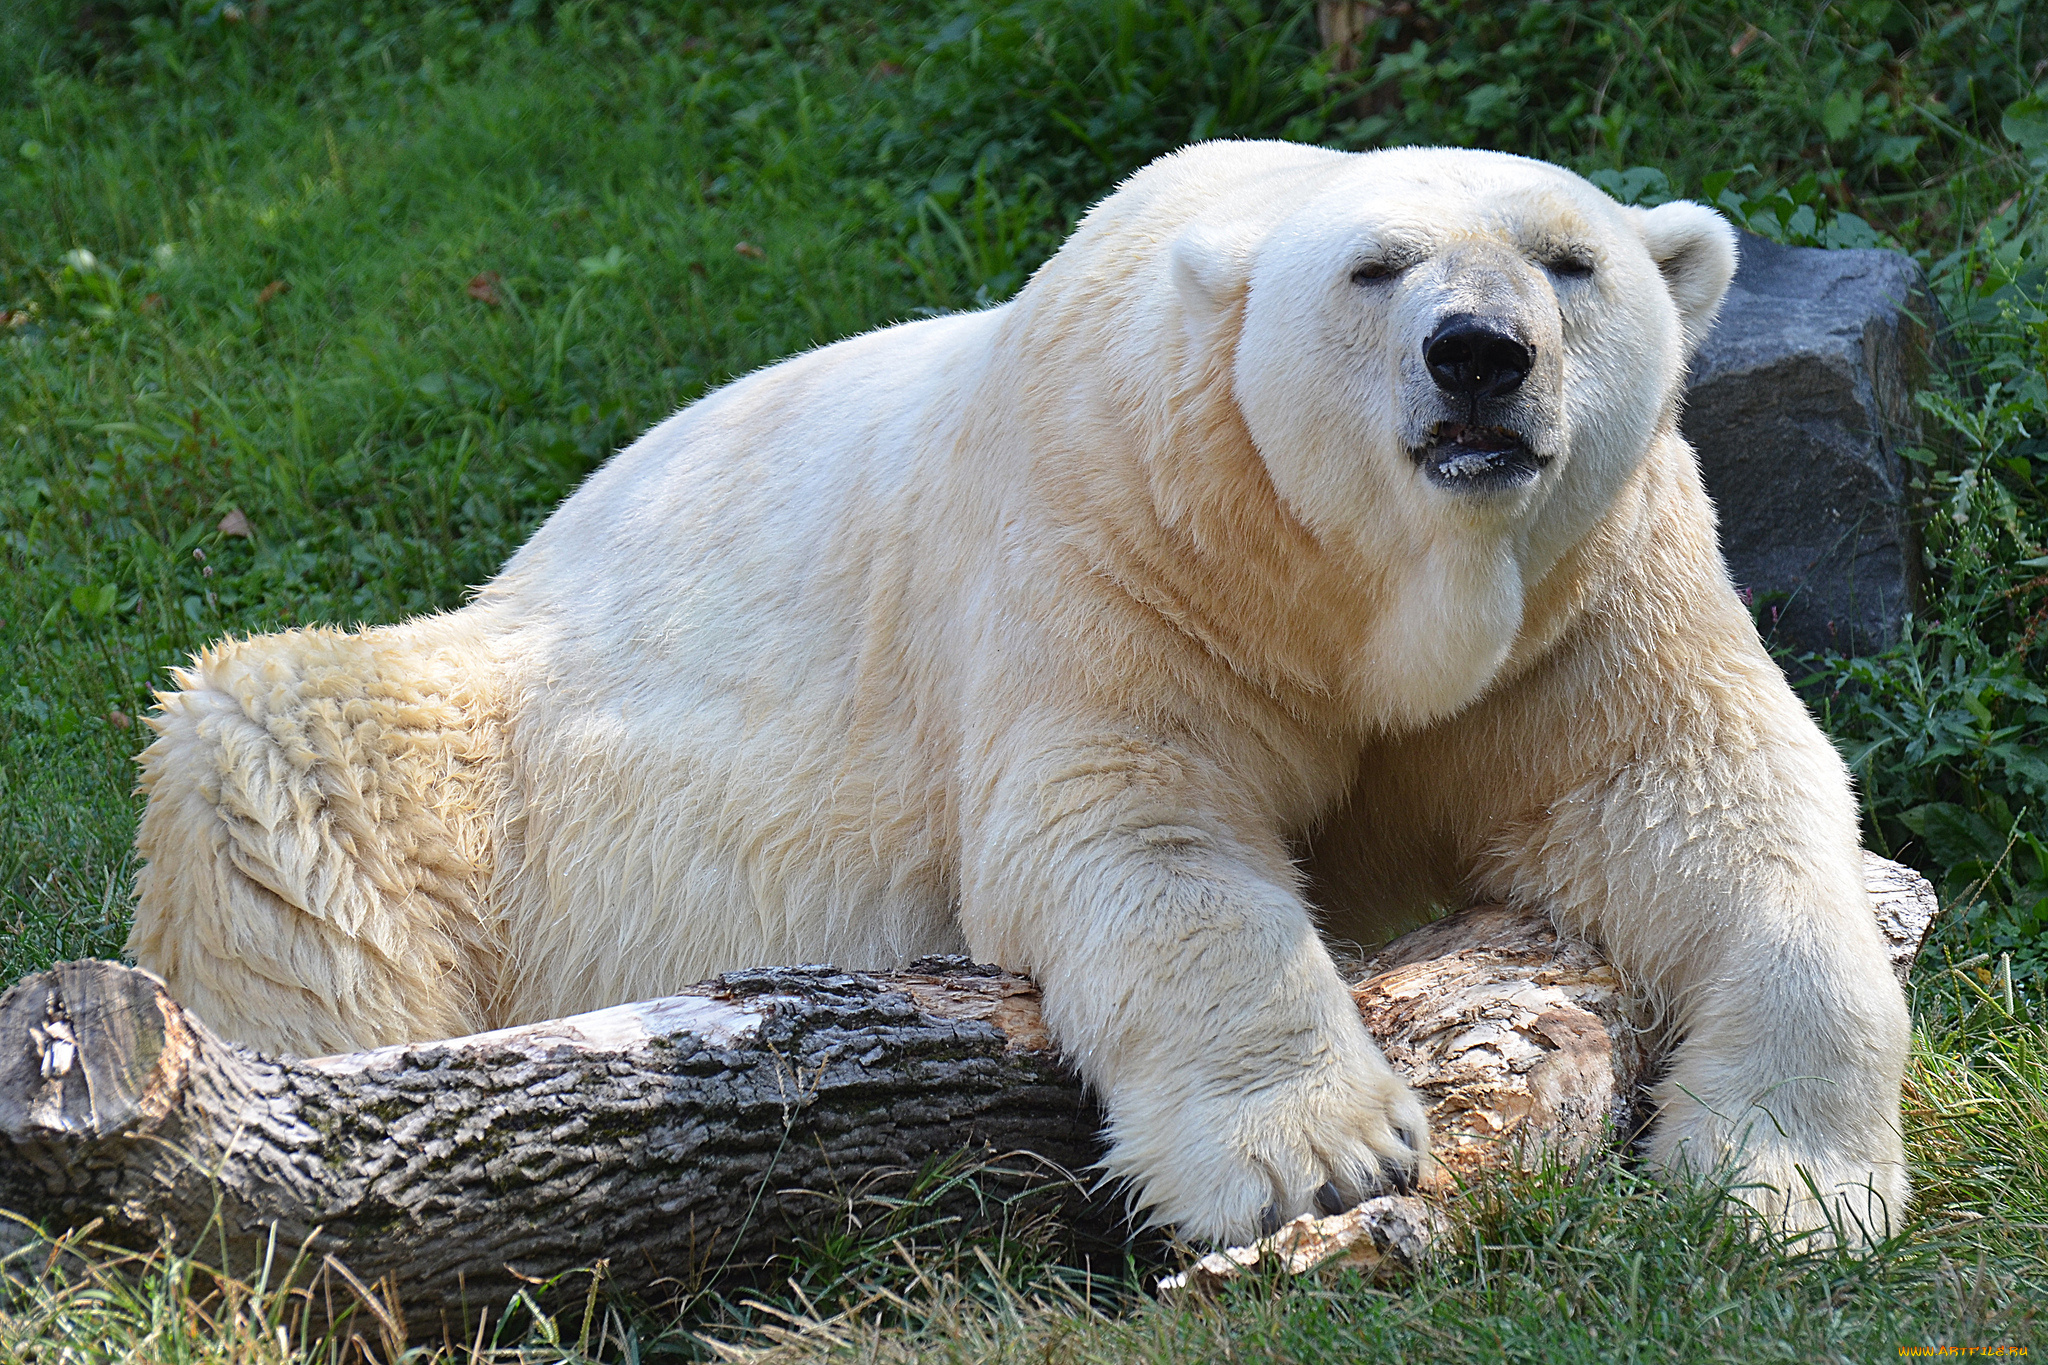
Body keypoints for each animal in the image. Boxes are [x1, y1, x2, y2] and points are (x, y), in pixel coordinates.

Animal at [136, 144, 1908, 1244]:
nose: (1480, 354)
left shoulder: (1586, 590)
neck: (1367, 585)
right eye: (1376, 266)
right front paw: (1318, 1155)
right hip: (500, 752)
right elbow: (1138, 827)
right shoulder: (1121, 539)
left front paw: (1791, 1187)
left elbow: (1702, 801)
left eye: (1572, 261)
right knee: (277, 738)